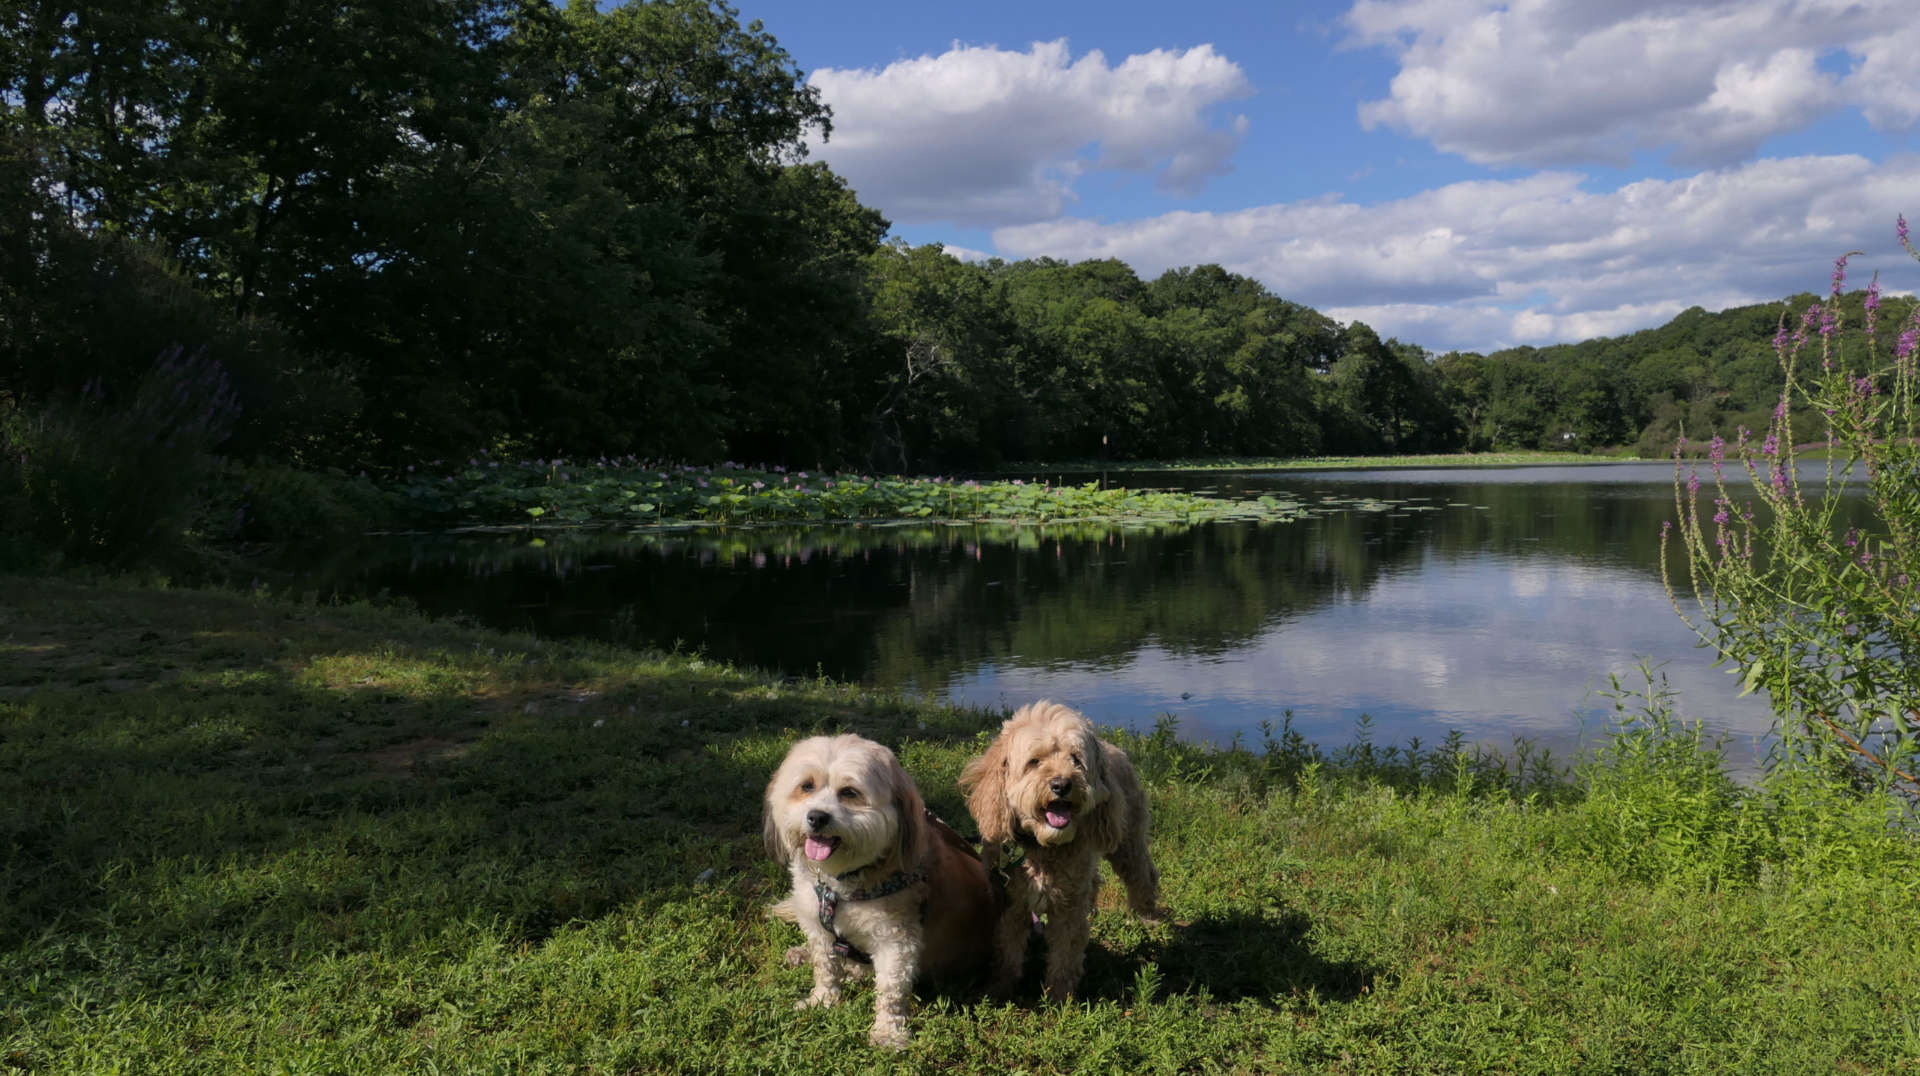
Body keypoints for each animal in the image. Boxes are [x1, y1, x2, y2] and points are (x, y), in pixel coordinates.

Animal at [760, 733, 998, 1045]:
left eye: (849, 792)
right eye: (806, 786)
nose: (817, 817)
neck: (844, 885)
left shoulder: (895, 940)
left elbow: (890, 988)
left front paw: (888, 1032)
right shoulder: (818, 925)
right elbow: (825, 966)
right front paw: (822, 1000)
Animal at [956, 703, 1152, 1006]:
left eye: (1076, 759)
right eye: (1034, 761)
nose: (1062, 784)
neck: (1041, 847)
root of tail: (1112, 746)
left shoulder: (1068, 911)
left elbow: (1065, 957)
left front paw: (1060, 999)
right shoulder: (1010, 904)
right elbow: (1008, 952)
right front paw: (999, 989)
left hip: (1127, 841)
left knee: (1143, 874)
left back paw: (1148, 911)